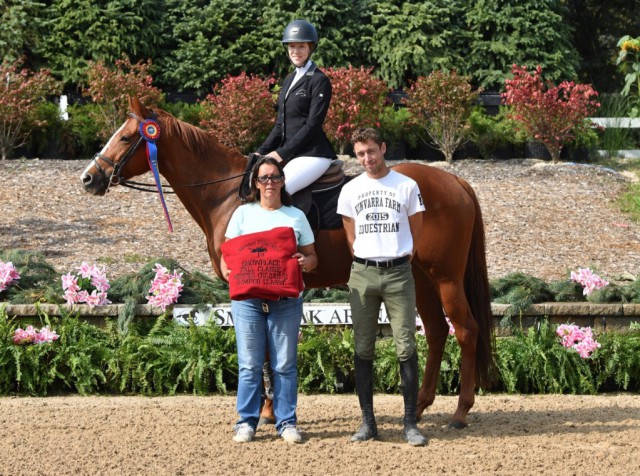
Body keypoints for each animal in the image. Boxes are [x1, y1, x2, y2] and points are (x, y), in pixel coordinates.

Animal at [81, 96, 496, 428]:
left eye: (125, 137)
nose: (89, 178)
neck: (227, 194)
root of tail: (456, 182)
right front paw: (268, 410)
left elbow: (260, 345)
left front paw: (264, 411)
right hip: (420, 277)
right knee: (438, 331)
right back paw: (422, 405)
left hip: (445, 277)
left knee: (465, 330)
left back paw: (460, 412)